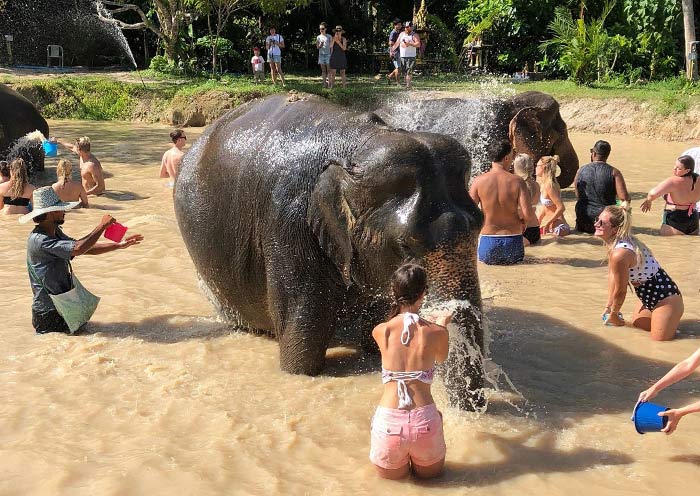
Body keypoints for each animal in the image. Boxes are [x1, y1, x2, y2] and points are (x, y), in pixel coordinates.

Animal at [176, 94, 486, 410]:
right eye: (405, 246)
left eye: (480, 224)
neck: (361, 141)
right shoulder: (289, 222)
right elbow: (304, 342)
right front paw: (298, 369)